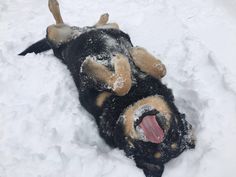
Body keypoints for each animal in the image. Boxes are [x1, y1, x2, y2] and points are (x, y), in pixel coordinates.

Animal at [19, 0, 195, 176]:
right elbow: (160, 69)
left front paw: (103, 63)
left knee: (59, 25)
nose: (157, 135)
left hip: (55, 36)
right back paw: (95, 17)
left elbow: (120, 84)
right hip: (73, 33)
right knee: (81, 24)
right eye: (175, 130)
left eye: (173, 135)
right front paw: (135, 53)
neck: (133, 99)